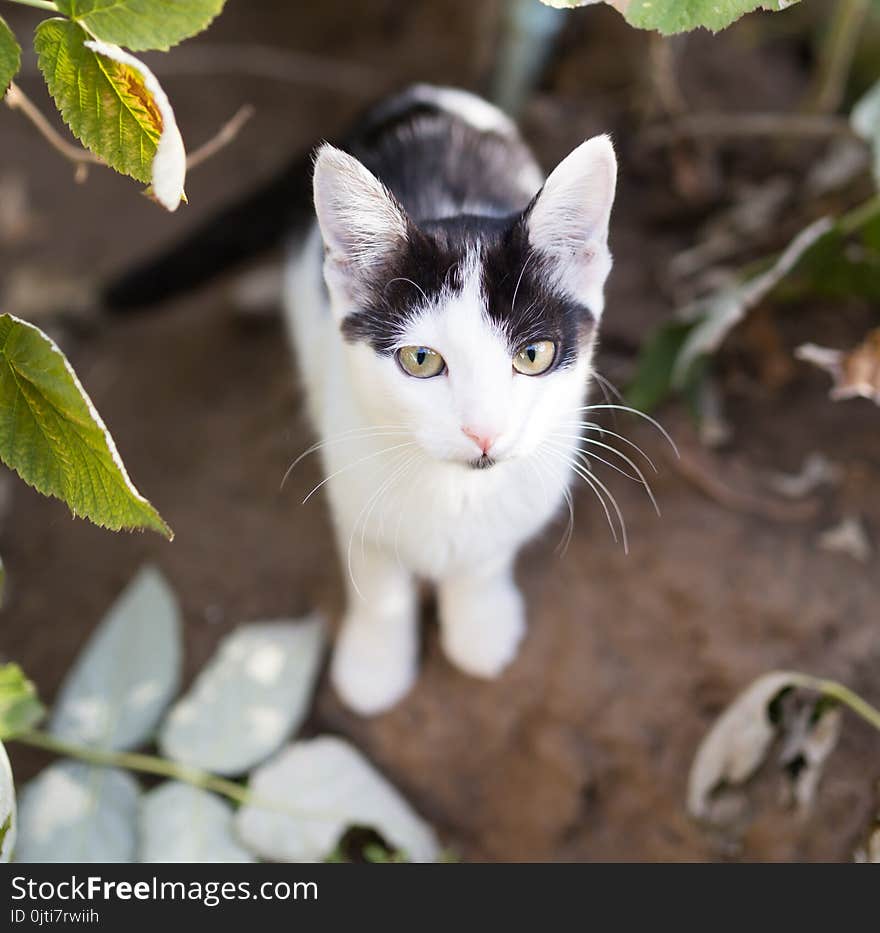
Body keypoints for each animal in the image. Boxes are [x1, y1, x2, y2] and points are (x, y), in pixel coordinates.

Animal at [103, 85, 620, 712]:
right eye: (421, 360)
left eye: (534, 355)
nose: (483, 433)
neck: (453, 490)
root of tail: (418, 93)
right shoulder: (352, 481)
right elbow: (377, 581)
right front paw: (375, 665)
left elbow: (486, 554)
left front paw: (479, 626)